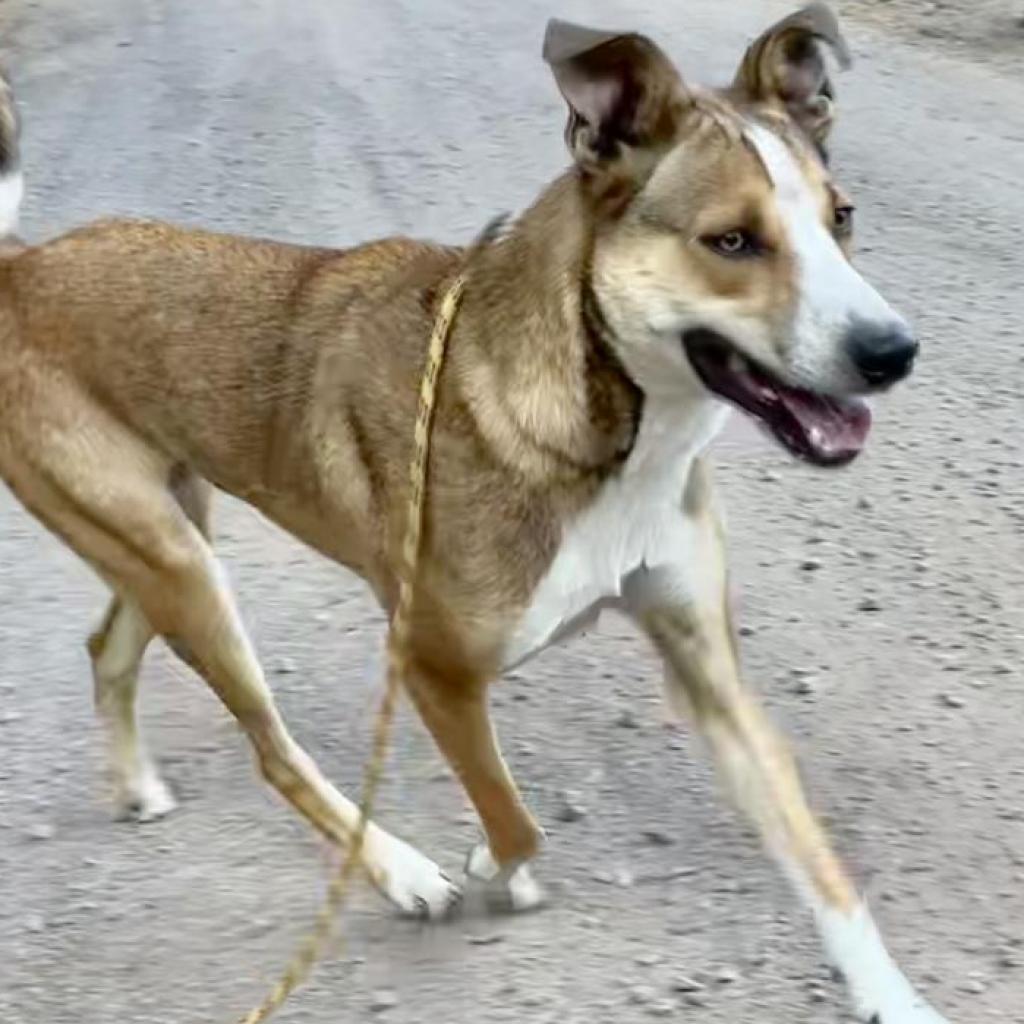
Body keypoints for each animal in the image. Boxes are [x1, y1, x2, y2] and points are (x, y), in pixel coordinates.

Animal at [0, 8, 946, 1024]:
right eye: (731, 241)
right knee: (272, 753)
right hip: (180, 564)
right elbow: (517, 821)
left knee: (109, 646)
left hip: (167, 531)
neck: (600, 428)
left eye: (841, 218)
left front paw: (894, 997)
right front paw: (491, 868)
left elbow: (820, 863)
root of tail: (24, 268)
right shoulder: (434, 668)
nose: (893, 353)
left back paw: (137, 784)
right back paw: (400, 872)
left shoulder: (708, 668)